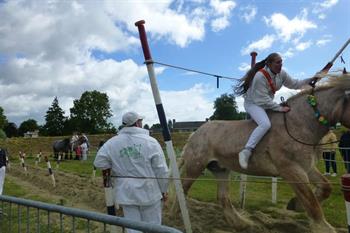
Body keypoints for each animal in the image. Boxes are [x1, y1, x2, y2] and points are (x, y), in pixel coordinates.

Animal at [179, 74, 350, 233]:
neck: (298, 124)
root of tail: (195, 133)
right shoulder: (291, 170)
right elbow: (311, 201)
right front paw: (322, 227)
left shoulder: (306, 167)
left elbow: (325, 188)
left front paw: (295, 204)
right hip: (194, 168)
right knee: (181, 191)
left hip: (220, 169)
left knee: (222, 197)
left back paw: (241, 223)